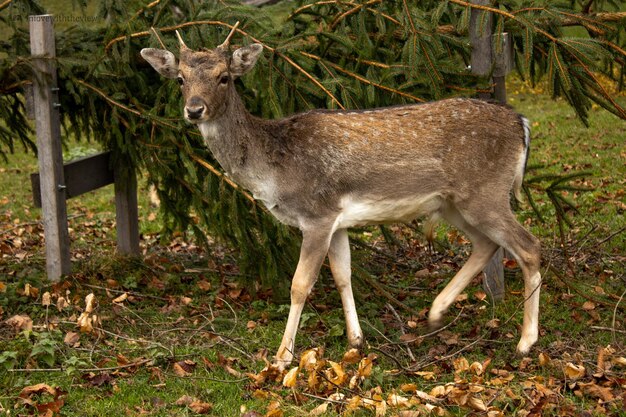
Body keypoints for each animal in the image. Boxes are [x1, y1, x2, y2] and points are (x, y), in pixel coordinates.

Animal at [139, 23, 540, 368]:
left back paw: (525, 342)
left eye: (224, 77)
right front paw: (356, 340)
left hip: (486, 192)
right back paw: (435, 311)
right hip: (455, 203)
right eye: (180, 79)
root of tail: (522, 123)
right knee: (487, 244)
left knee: (528, 246)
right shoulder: (338, 220)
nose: (194, 109)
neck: (275, 170)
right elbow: (343, 274)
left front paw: (282, 356)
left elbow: (301, 284)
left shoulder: (316, 213)